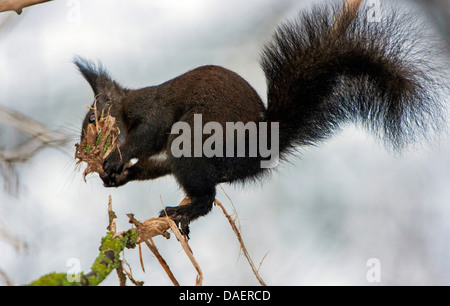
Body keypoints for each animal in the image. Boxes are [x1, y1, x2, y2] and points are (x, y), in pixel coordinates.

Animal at [74, 1, 446, 237]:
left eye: (92, 118)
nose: (81, 148)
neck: (125, 109)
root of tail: (262, 146)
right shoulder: (160, 154)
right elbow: (154, 164)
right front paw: (119, 176)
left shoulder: (152, 111)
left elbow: (147, 137)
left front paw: (114, 158)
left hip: (195, 137)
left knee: (207, 196)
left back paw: (184, 211)